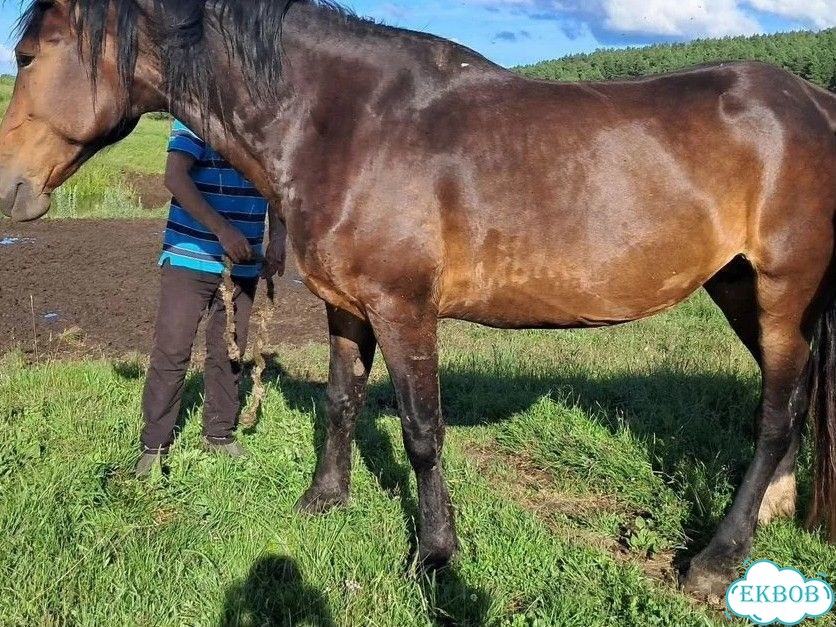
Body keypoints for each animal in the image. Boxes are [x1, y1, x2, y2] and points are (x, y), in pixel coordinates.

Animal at [1, 0, 834, 598]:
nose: (9, 186)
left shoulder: (405, 310)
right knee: (788, 408)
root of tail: (815, 103)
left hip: (783, 294)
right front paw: (324, 499)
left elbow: (422, 432)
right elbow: (341, 401)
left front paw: (434, 554)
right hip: (740, 291)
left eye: (28, 54)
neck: (348, 123)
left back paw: (716, 560)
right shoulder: (347, 306)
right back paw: (768, 517)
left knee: (776, 414)